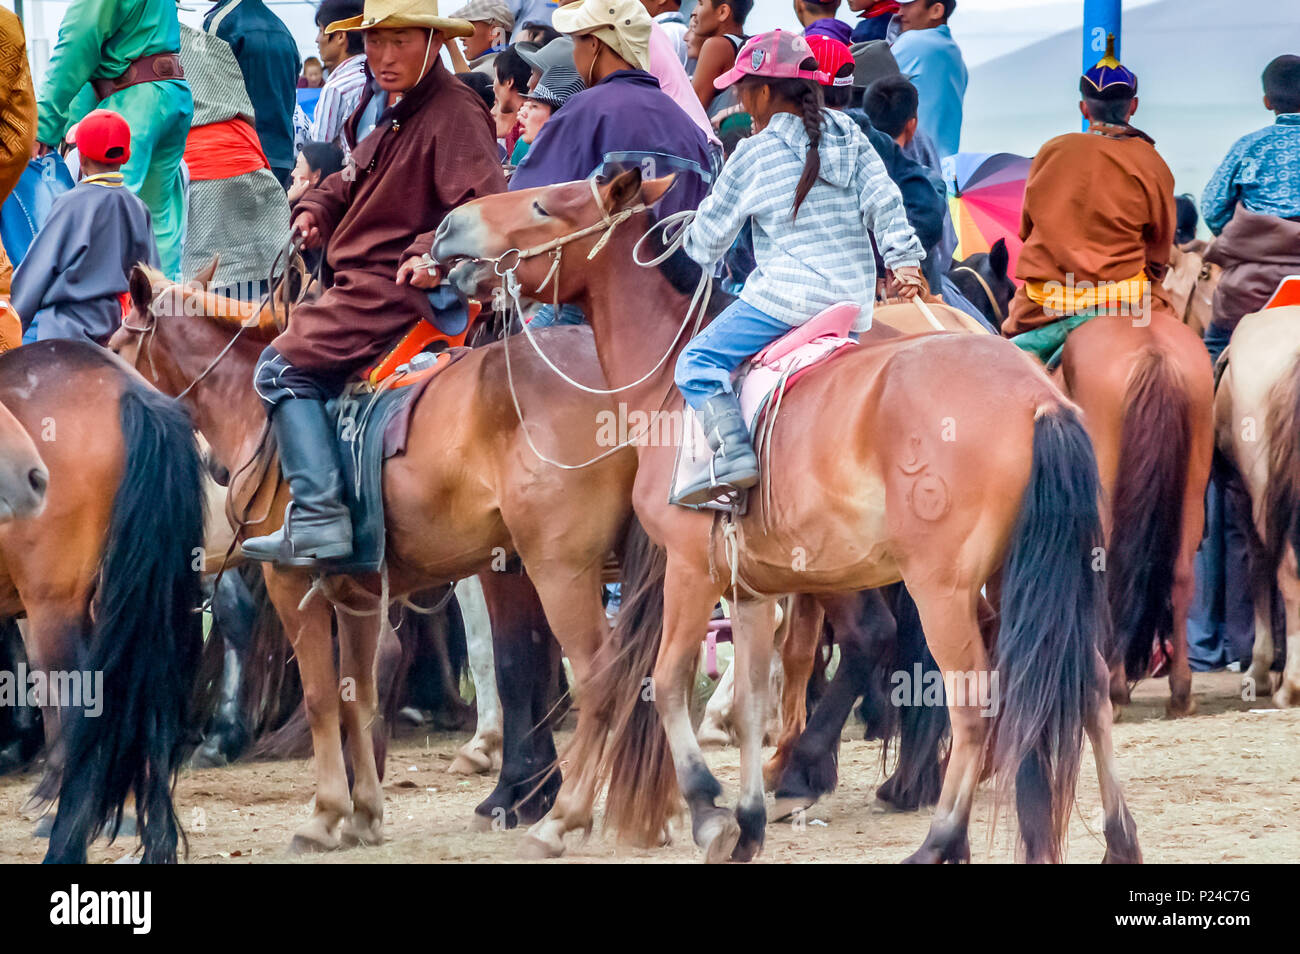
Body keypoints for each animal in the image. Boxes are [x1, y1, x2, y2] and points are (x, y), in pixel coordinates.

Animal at [113, 265, 639, 857]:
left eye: (115, 345)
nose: (213, 470)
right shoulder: (356, 593)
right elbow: (357, 696)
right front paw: (363, 812)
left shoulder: (291, 583)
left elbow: (322, 697)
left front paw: (324, 815)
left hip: (561, 569)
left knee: (601, 676)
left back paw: (562, 818)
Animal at [434, 171, 1138, 868]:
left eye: (542, 204)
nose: (446, 228)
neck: (671, 384)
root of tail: (1037, 398)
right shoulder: (750, 588)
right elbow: (749, 702)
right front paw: (745, 822)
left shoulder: (690, 569)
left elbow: (665, 682)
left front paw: (700, 810)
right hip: (1028, 574)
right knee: (1087, 689)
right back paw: (1116, 839)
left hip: (942, 588)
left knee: (972, 704)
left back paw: (936, 842)